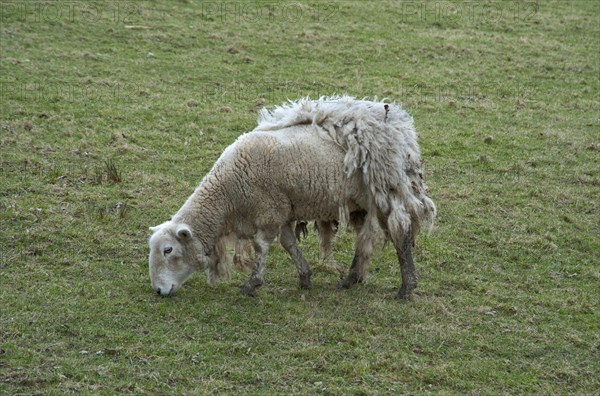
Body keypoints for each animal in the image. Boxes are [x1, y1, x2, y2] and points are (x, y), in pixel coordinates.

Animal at [148, 96, 434, 296]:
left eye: (168, 250)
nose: (159, 291)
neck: (228, 192)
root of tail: (401, 129)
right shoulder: (282, 209)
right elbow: (289, 244)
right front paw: (305, 276)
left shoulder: (269, 210)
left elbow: (262, 246)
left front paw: (252, 284)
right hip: (365, 201)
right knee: (366, 238)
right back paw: (351, 279)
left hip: (385, 189)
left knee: (401, 232)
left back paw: (406, 287)